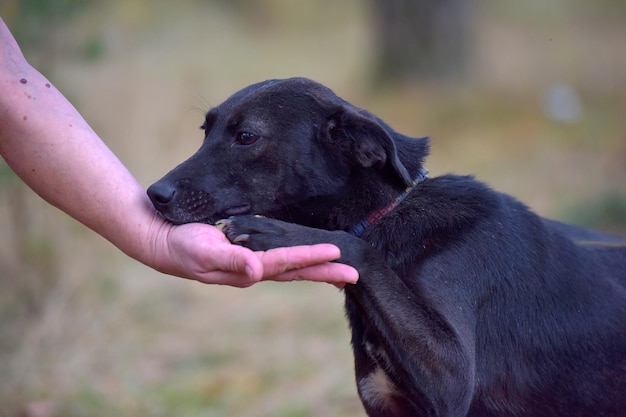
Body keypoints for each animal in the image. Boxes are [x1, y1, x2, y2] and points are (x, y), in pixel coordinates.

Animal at [147, 78, 624, 416]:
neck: (388, 216)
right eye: (205, 131)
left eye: (246, 136)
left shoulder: (451, 378)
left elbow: (358, 250)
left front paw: (277, 233)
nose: (154, 193)